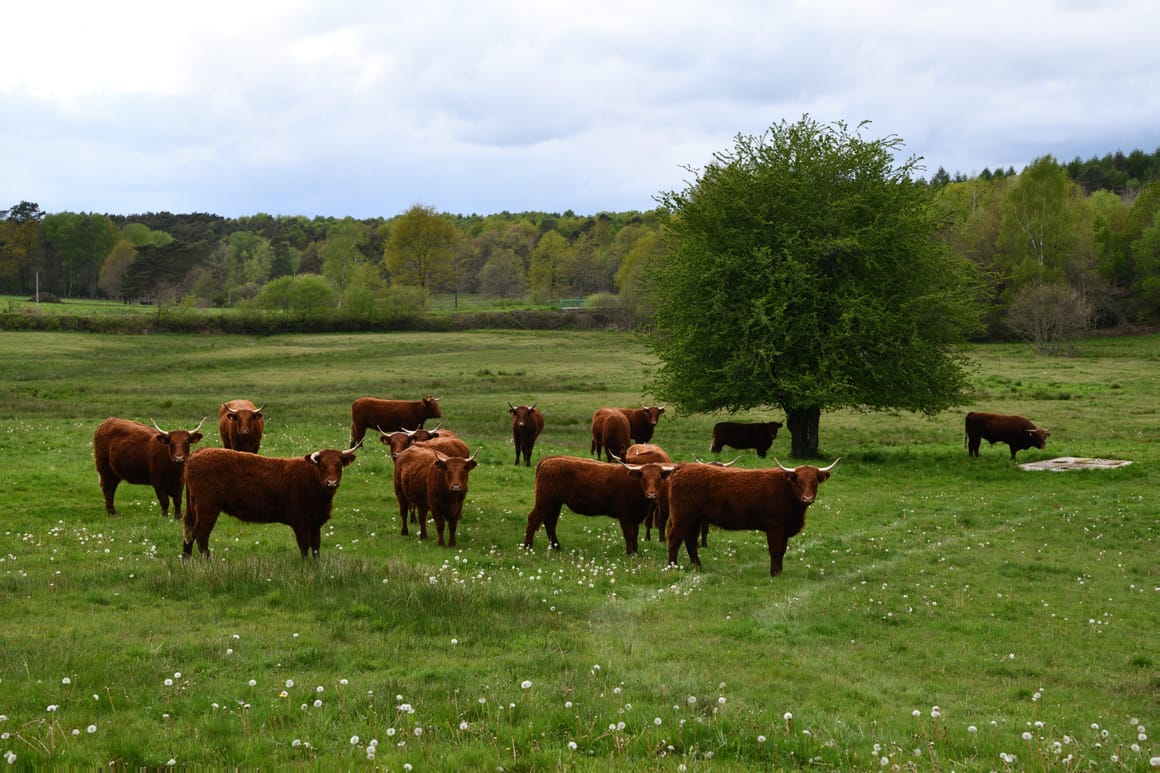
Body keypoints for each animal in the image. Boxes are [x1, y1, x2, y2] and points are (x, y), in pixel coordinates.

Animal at [181, 445, 358, 559]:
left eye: (339, 465)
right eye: (322, 465)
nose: (331, 482)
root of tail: (198, 453)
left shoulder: (315, 523)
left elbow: (316, 547)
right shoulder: (300, 522)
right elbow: (304, 547)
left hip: (194, 507)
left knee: (189, 532)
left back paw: (186, 560)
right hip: (207, 508)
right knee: (201, 534)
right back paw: (207, 562)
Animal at [523, 455, 676, 555]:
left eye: (659, 478)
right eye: (643, 478)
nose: (651, 495)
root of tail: (548, 460)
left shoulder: (635, 516)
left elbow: (635, 533)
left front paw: (635, 551)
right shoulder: (625, 515)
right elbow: (629, 533)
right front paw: (630, 553)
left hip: (555, 503)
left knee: (550, 522)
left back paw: (556, 546)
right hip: (545, 500)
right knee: (534, 519)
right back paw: (528, 547)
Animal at [666, 458, 838, 578]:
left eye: (815, 482)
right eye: (799, 481)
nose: (807, 498)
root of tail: (683, 466)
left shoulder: (784, 529)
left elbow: (782, 550)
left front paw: (780, 572)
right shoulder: (774, 526)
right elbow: (775, 549)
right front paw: (774, 573)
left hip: (694, 519)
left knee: (690, 540)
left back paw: (698, 567)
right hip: (682, 517)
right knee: (674, 540)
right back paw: (672, 567)